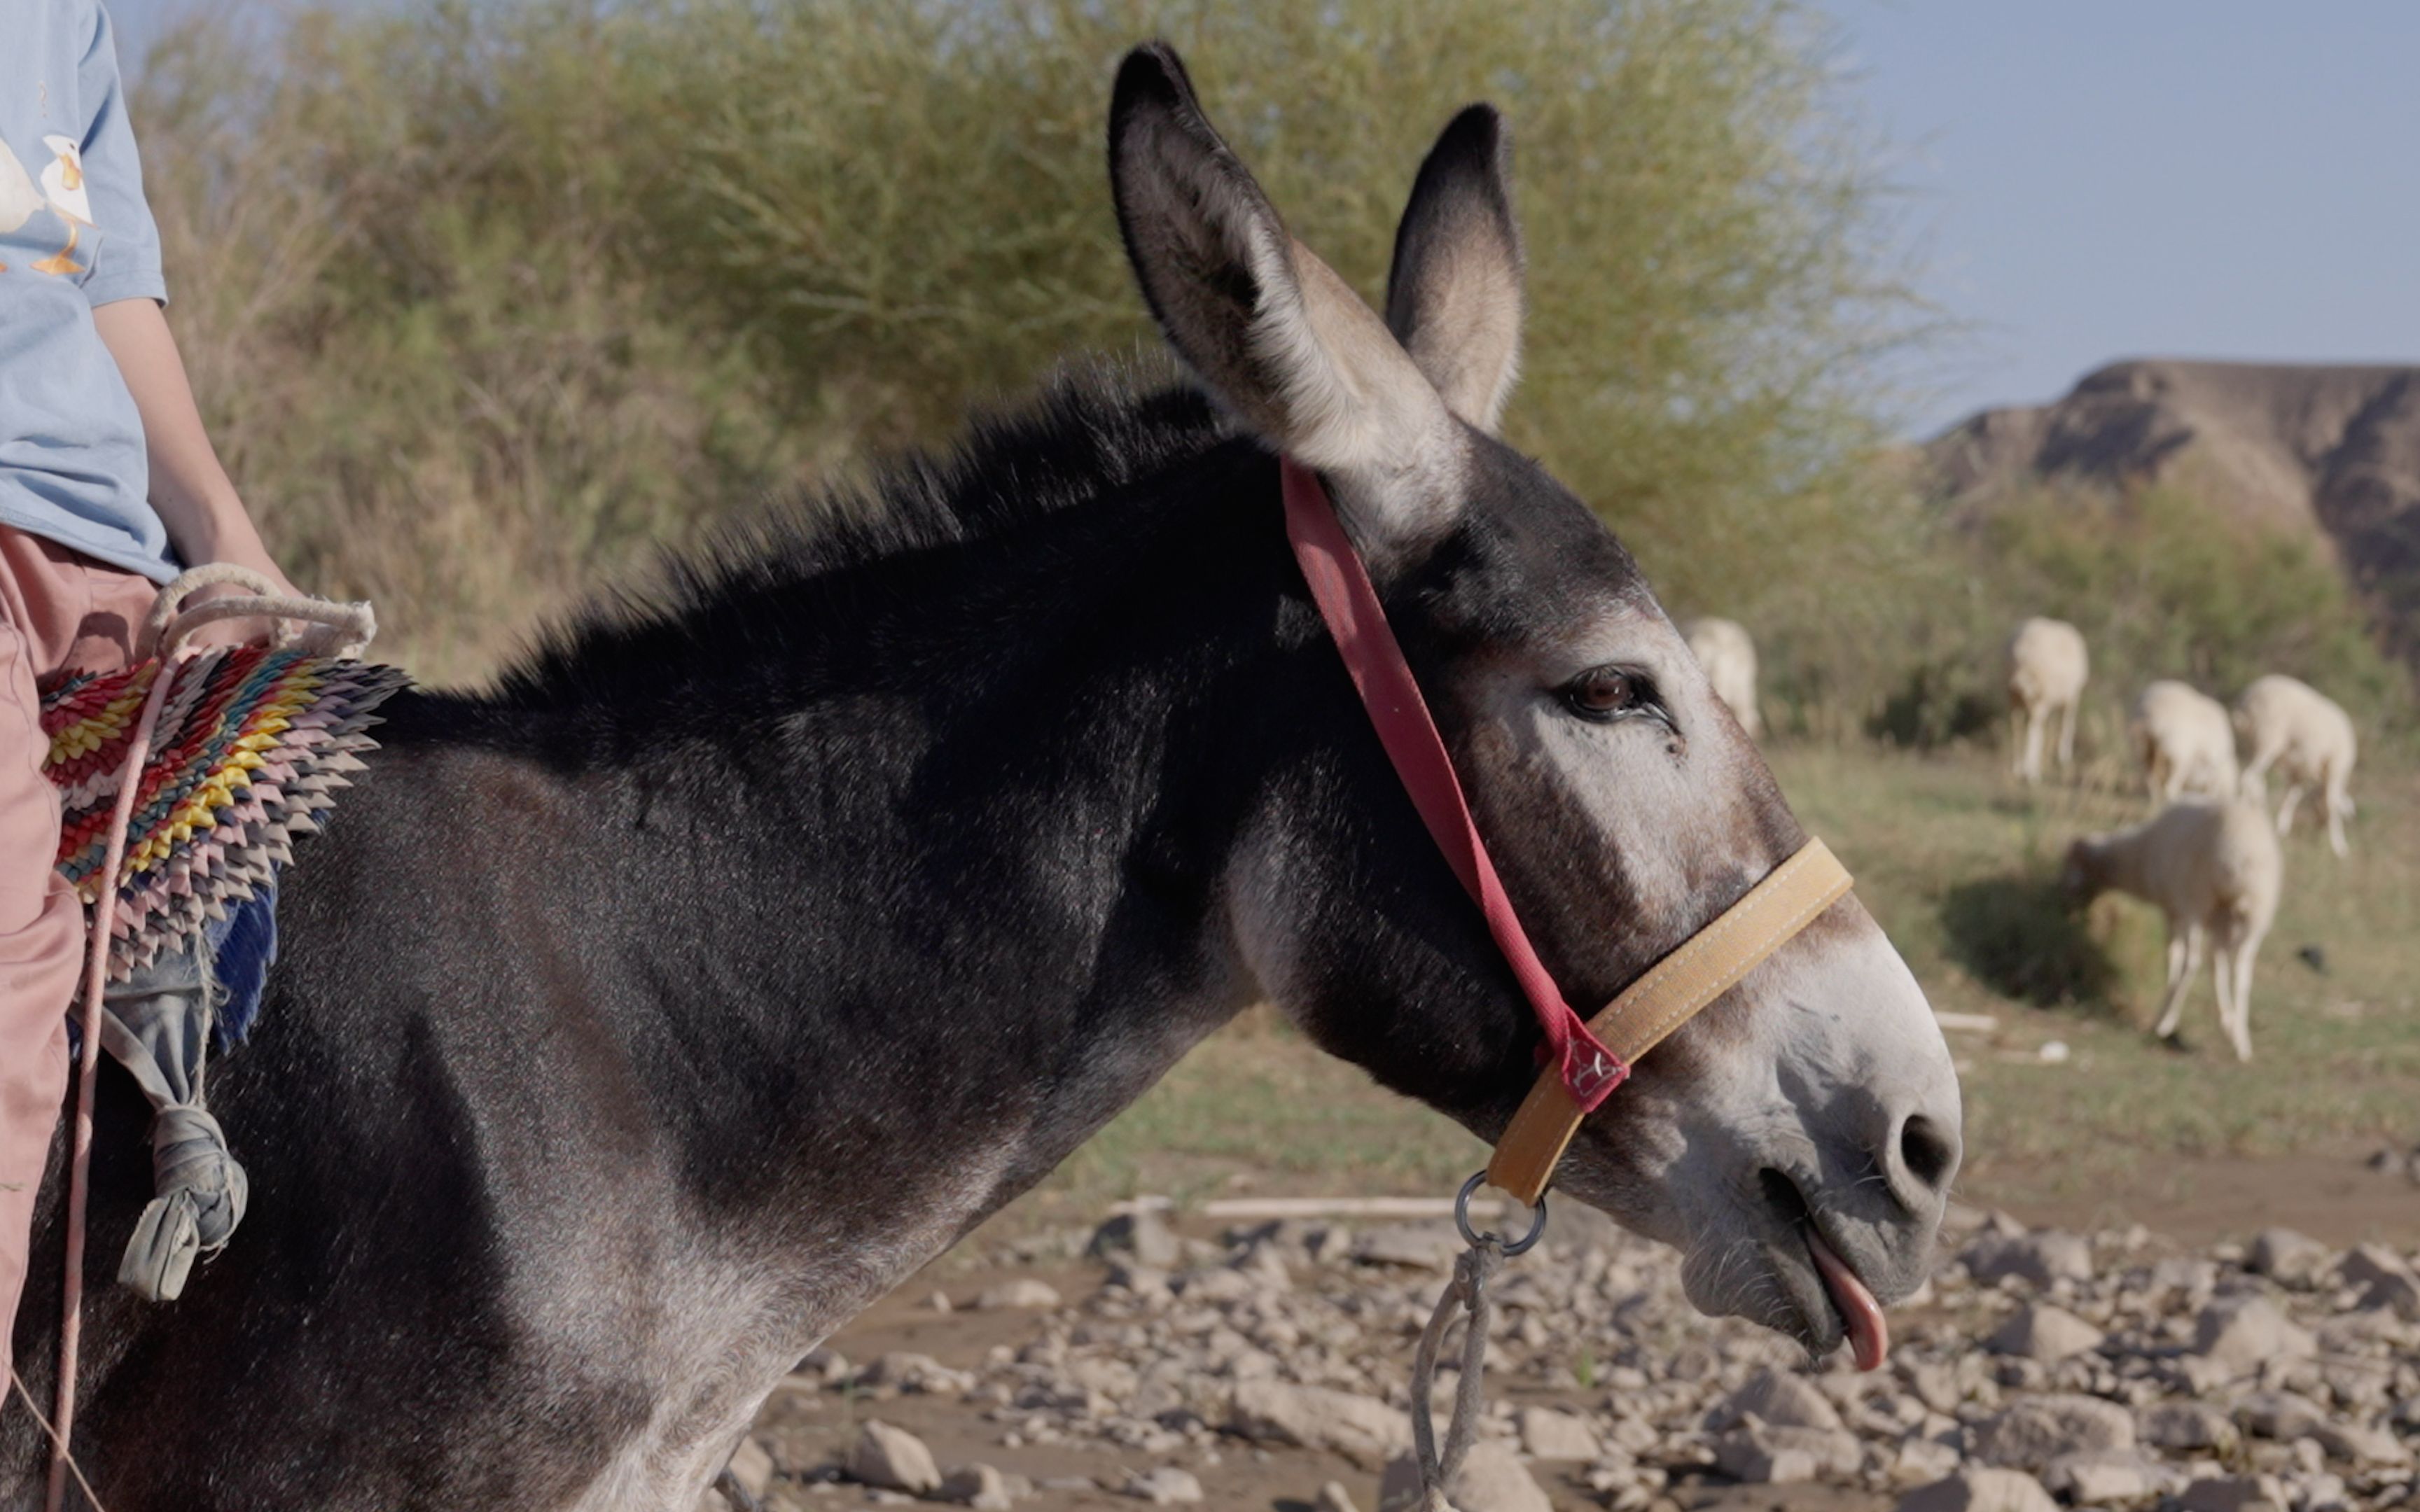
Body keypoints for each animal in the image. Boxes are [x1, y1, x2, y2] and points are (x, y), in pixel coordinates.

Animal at [2061, 803, 2284, 1059]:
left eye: (2070, 864)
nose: (2064, 905)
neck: (2140, 853)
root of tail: (2243, 856)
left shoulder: (2173, 911)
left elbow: (2173, 957)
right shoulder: (2217, 921)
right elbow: (2219, 966)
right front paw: (2228, 1024)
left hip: (2196, 901)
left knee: (2193, 962)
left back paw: (2165, 1022)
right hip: (2254, 916)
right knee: (2241, 973)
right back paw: (2241, 1042)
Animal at [2129, 677, 2236, 808]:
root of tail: (2151, 713)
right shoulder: (2212, 775)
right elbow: (2209, 793)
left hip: (2144, 751)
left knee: (2152, 782)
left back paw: (2155, 806)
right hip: (2178, 755)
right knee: (2170, 787)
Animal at [2226, 677, 2362, 856]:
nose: (2319, 827)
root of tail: (2245, 701)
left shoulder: (2298, 773)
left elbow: (2292, 797)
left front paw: (2282, 828)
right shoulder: (2336, 766)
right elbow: (2331, 804)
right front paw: (2339, 847)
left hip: (2250, 744)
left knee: (2256, 779)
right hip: (2269, 739)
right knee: (2248, 777)